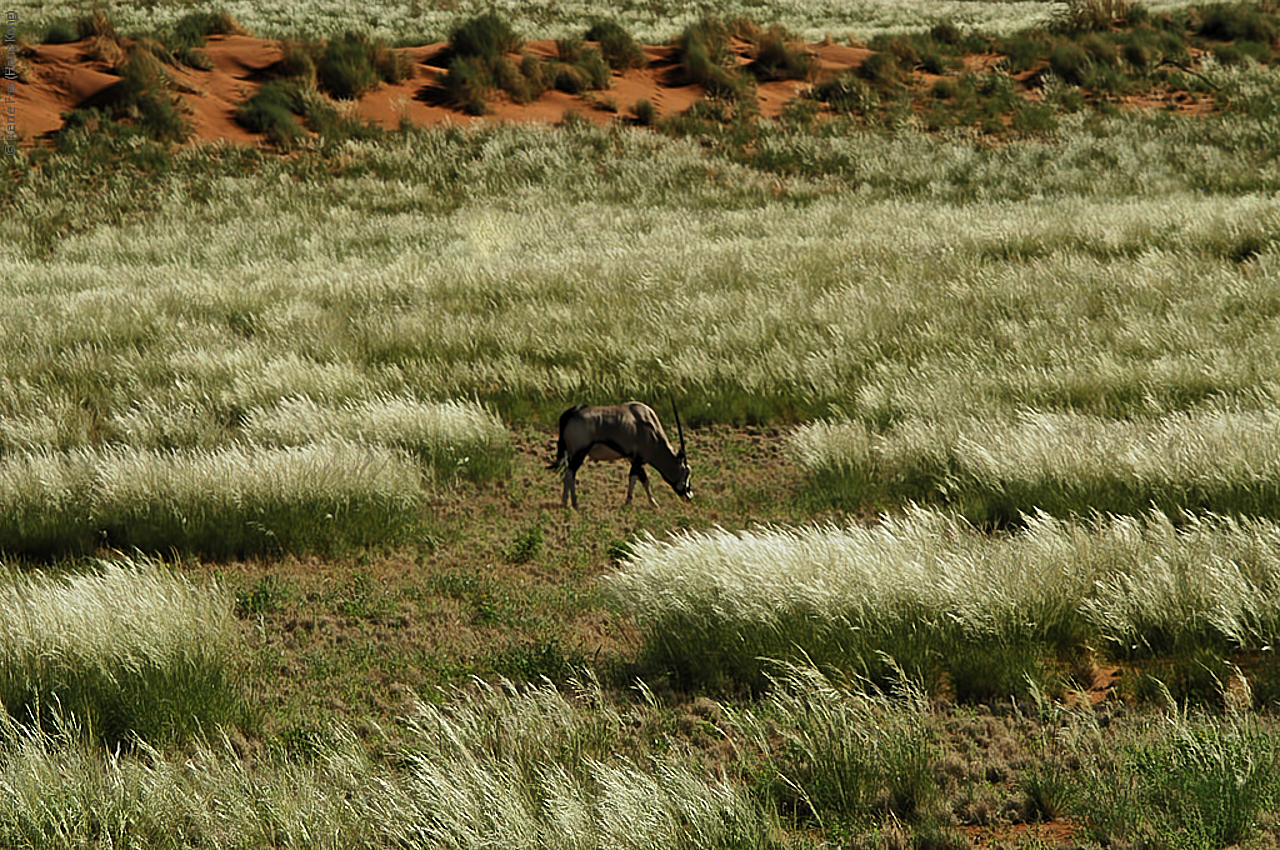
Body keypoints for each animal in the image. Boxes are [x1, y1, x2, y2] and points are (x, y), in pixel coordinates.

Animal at [547, 401, 691, 506]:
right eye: (686, 473)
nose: (689, 496)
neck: (652, 430)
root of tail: (572, 412)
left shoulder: (634, 460)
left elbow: (639, 479)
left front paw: (642, 502)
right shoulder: (638, 460)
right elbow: (640, 480)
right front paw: (641, 503)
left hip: (574, 455)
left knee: (571, 474)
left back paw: (571, 502)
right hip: (579, 454)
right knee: (569, 474)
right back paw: (569, 503)